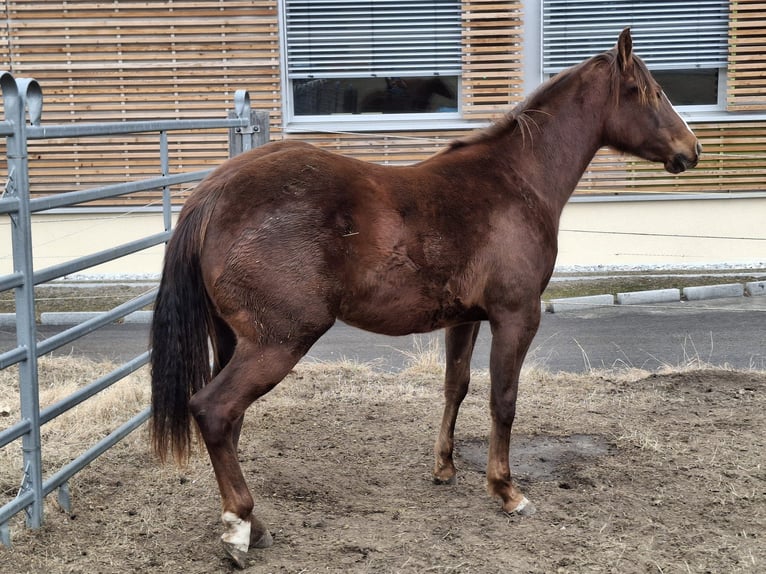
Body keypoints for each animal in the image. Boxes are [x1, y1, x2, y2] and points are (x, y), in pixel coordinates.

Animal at [150, 28, 700, 568]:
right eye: (650, 91)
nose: (691, 150)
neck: (515, 182)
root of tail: (214, 193)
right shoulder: (516, 316)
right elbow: (504, 400)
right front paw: (506, 491)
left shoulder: (465, 319)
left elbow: (455, 386)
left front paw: (445, 467)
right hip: (278, 343)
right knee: (215, 410)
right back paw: (239, 527)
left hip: (236, 341)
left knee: (231, 422)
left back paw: (250, 523)